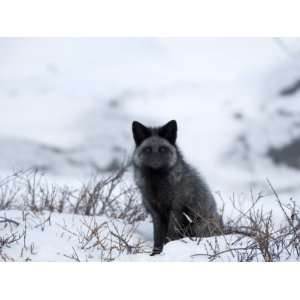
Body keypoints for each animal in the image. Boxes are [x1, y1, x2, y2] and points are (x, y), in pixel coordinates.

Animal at [132, 119, 223, 255]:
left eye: (162, 149)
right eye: (147, 149)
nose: (155, 162)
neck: (157, 185)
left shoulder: (176, 209)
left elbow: (171, 234)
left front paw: (167, 250)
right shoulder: (155, 213)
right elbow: (157, 236)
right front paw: (155, 254)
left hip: (198, 224)